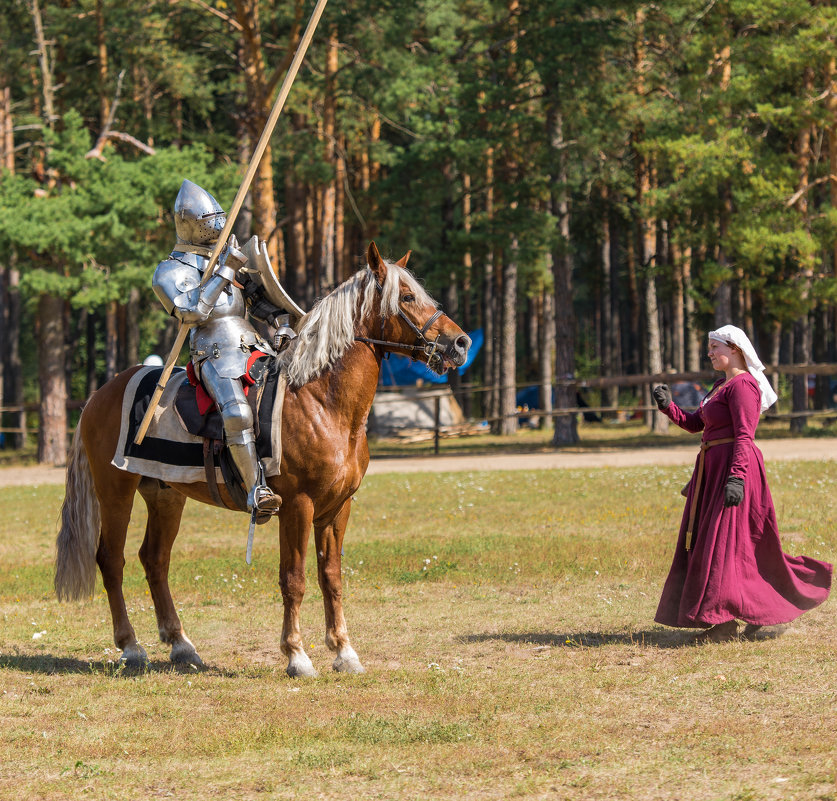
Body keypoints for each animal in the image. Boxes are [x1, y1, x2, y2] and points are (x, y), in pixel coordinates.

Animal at [53, 242, 470, 676]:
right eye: (406, 298)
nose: (461, 343)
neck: (322, 400)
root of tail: (99, 394)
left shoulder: (338, 507)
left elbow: (331, 577)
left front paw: (344, 651)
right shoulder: (298, 506)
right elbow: (294, 578)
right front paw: (297, 655)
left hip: (166, 495)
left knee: (154, 560)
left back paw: (181, 645)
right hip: (115, 491)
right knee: (111, 560)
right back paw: (131, 646)